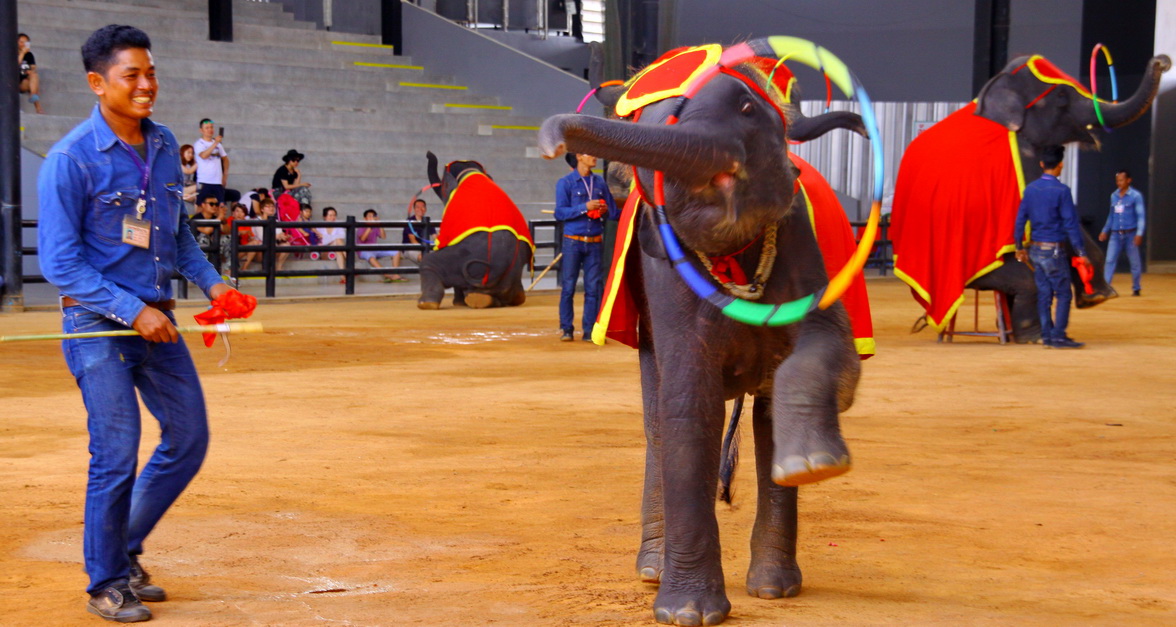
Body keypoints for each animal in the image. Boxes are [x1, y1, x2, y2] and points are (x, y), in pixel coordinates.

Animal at [416, 151, 536, 308]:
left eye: (443, 187)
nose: (428, 153)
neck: (471, 173)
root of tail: (498, 268)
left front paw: (458, 304)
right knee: (516, 296)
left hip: (461, 262)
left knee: (429, 263)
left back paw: (427, 303)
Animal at [889, 52, 1166, 341]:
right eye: (1062, 97)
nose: (1162, 60)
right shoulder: (1024, 156)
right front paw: (1100, 297)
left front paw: (1097, 295)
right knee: (1027, 282)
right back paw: (1034, 336)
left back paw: (1012, 333)